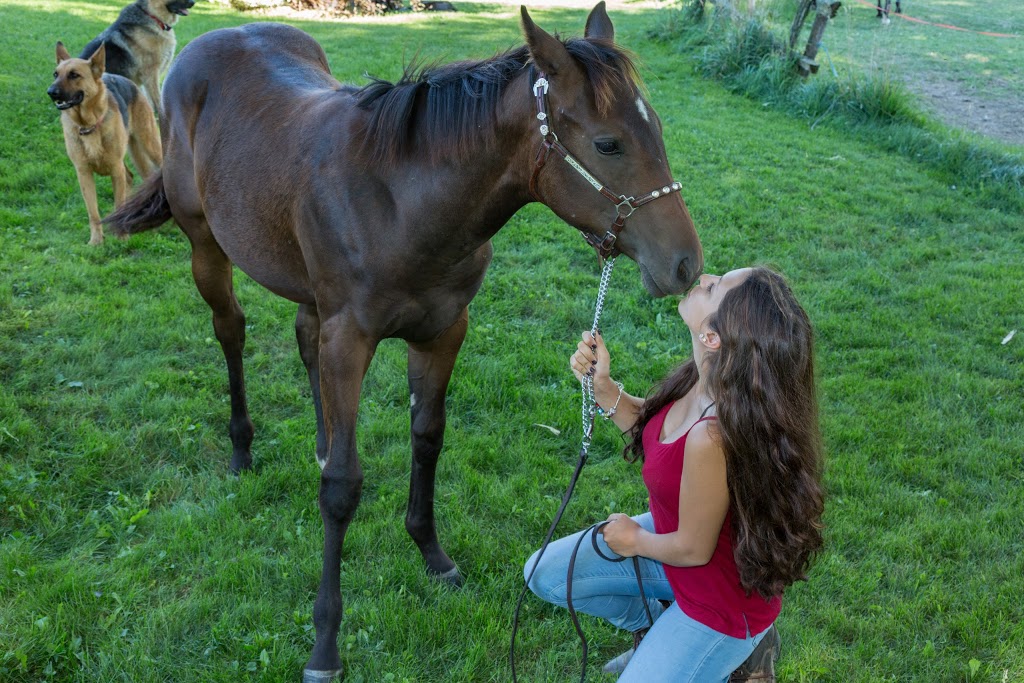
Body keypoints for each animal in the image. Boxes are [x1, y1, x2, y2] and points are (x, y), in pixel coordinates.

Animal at [48, 41, 160, 245]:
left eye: (74, 75)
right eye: (55, 74)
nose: (51, 92)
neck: (88, 126)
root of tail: (129, 82)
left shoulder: (116, 169)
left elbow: (118, 200)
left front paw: (122, 237)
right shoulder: (84, 173)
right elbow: (93, 213)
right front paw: (96, 241)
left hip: (150, 145)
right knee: (130, 176)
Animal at [105, 3, 704, 679]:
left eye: (656, 129)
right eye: (608, 143)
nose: (685, 263)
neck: (401, 201)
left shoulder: (442, 331)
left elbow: (427, 437)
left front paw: (432, 553)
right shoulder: (351, 338)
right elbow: (343, 486)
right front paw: (325, 644)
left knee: (303, 337)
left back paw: (319, 440)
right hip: (206, 247)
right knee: (230, 331)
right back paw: (241, 448)